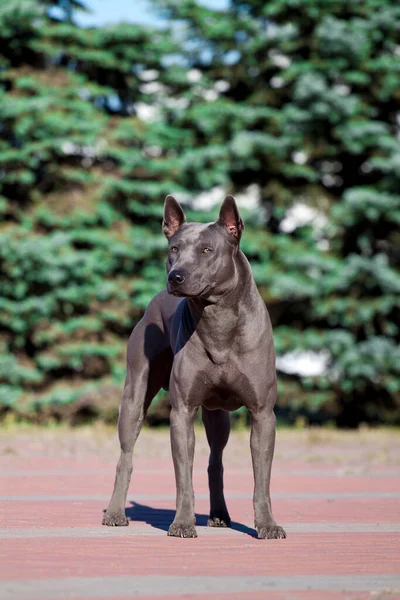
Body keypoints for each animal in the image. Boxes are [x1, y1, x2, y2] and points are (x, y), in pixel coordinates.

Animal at [101, 196, 286, 540]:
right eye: (174, 248)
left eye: (206, 250)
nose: (175, 276)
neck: (218, 318)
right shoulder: (182, 412)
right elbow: (183, 477)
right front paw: (183, 522)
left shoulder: (263, 414)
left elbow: (262, 481)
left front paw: (267, 525)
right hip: (134, 396)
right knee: (126, 455)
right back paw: (116, 512)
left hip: (218, 416)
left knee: (216, 461)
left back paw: (219, 515)